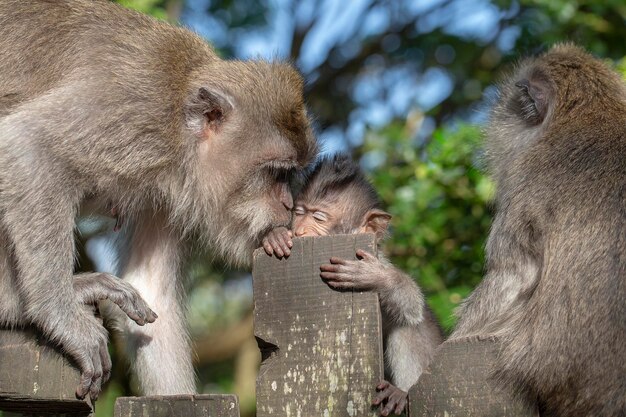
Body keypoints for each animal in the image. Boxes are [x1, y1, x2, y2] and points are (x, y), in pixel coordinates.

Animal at [1, 0, 316, 400]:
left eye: (290, 175)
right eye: (276, 172)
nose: (288, 204)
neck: (179, 130)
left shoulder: (166, 196)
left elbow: (153, 290)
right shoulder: (132, 111)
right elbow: (29, 145)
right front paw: (60, 317)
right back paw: (18, 306)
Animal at [260, 155, 442, 416]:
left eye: (318, 217)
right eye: (299, 213)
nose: (299, 230)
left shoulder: (375, 257)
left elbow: (413, 303)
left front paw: (376, 277)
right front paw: (274, 236)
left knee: (408, 321)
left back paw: (401, 392)